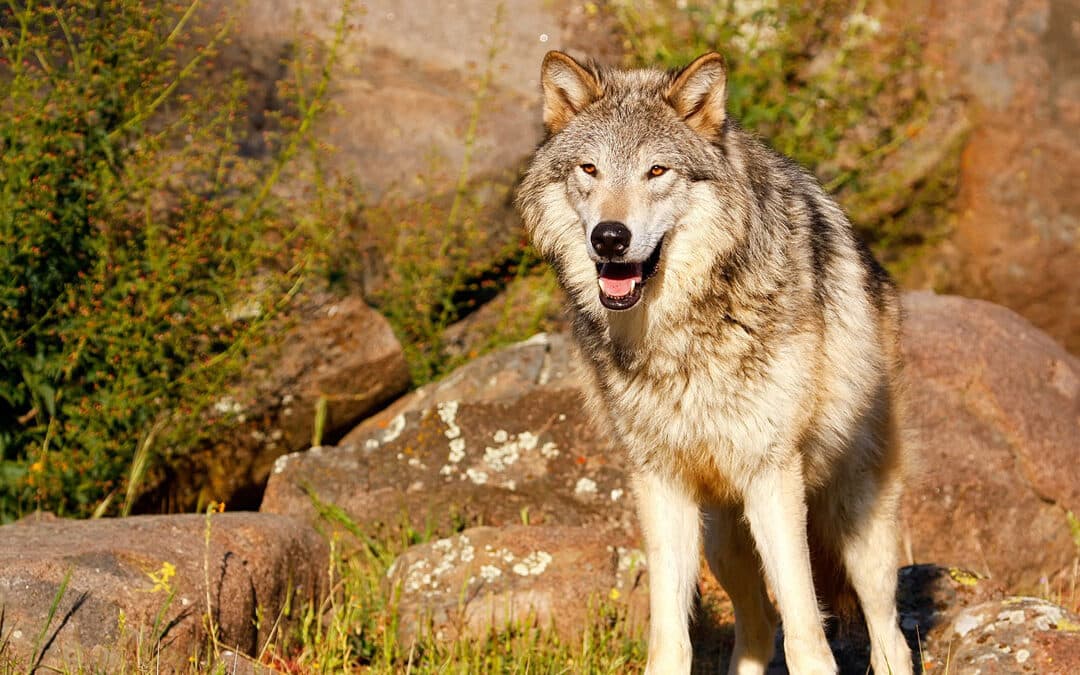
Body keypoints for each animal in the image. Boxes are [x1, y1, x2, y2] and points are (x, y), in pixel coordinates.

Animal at [516, 51, 913, 675]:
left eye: (657, 171)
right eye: (590, 169)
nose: (610, 237)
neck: (677, 336)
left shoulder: (772, 474)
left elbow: (806, 634)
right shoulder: (659, 483)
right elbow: (670, 637)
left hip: (854, 520)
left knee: (887, 635)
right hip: (724, 539)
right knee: (758, 627)